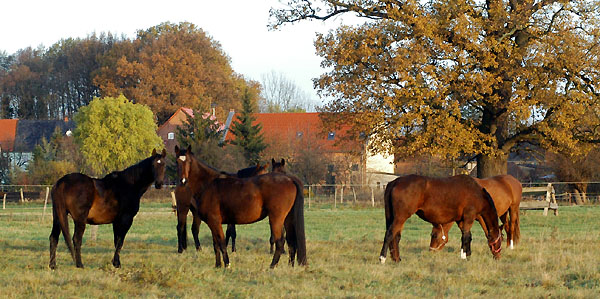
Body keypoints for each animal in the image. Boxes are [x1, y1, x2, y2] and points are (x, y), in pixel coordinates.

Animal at [172, 146, 304, 270]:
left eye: (189, 161)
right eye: (176, 161)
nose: (183, 180)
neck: (208, 184)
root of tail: (290, 180)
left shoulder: (215, 221)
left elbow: (221, 242)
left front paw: (227, 264)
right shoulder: (213, 222)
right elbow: (216, 244)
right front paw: (218, 265)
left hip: (276, 219)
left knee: (281, 241)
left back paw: (272, 266)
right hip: (287, 219)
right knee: (291, 241)